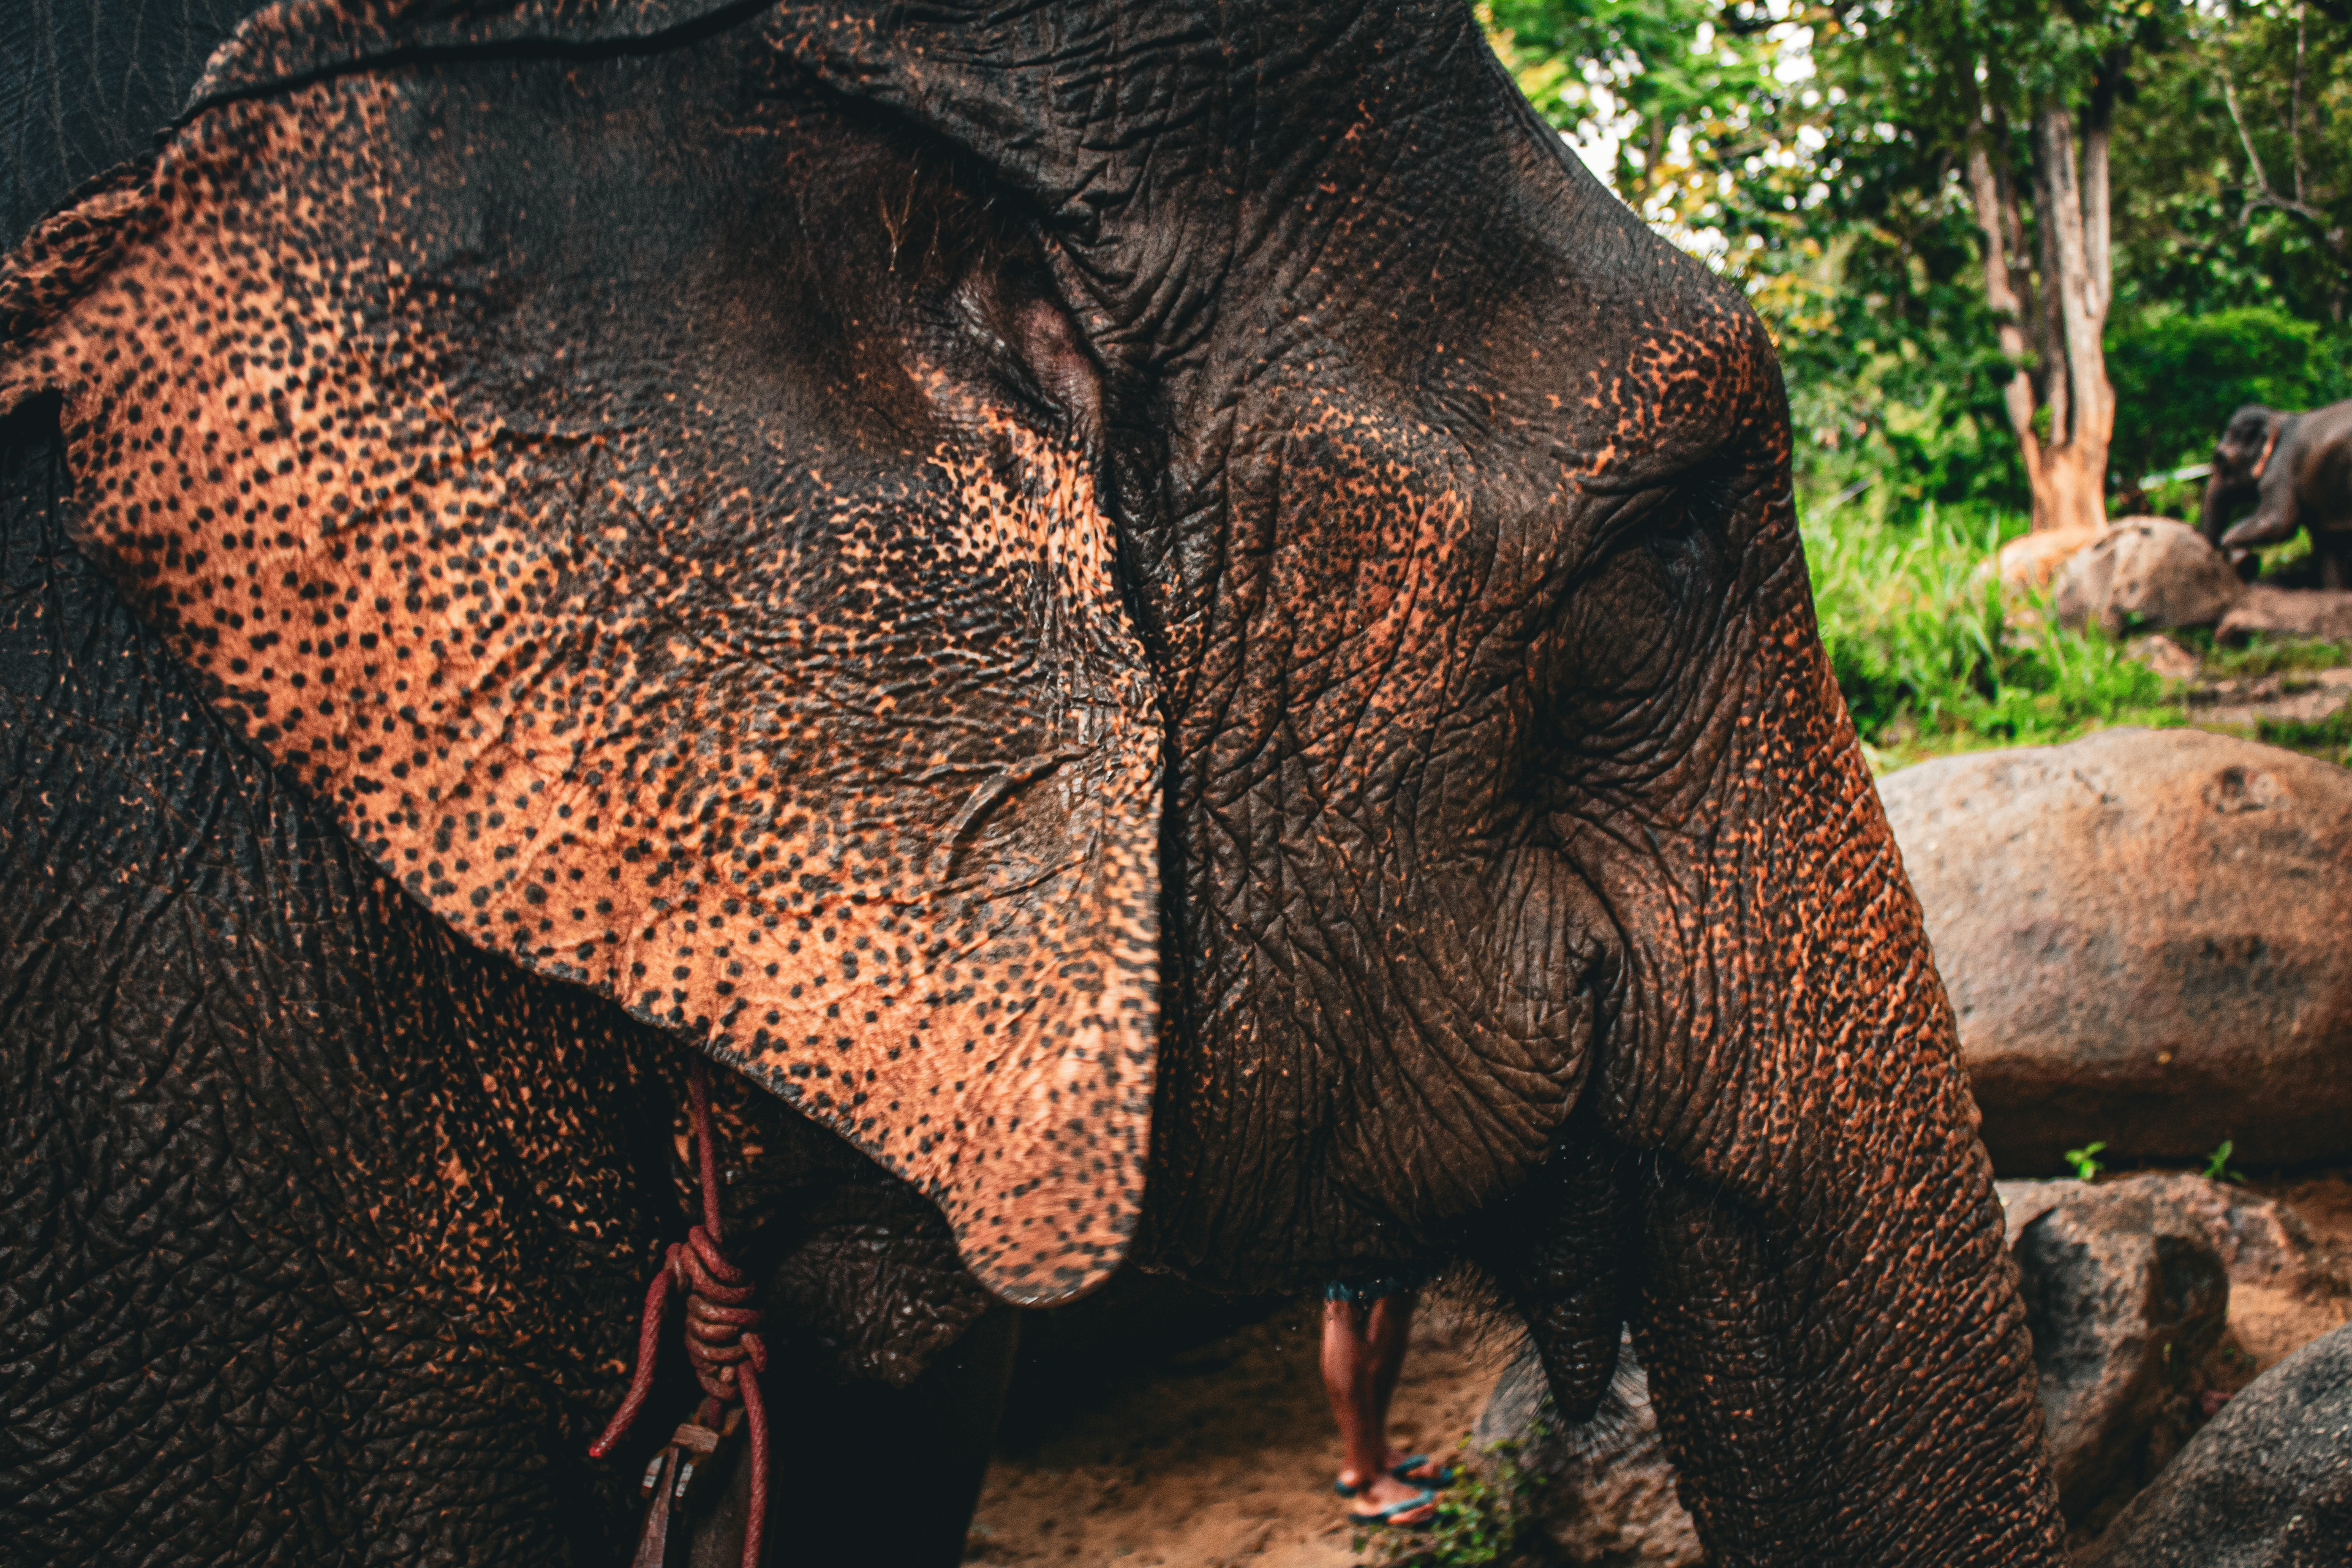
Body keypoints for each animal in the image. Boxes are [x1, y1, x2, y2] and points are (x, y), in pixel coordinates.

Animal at [2198, 400, 2352, 587]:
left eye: (2219, 457)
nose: (2250, 559)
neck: (2278, 417)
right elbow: (2328, 546)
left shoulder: (2281, 468)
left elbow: (2276, 523)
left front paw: (2237, 553)